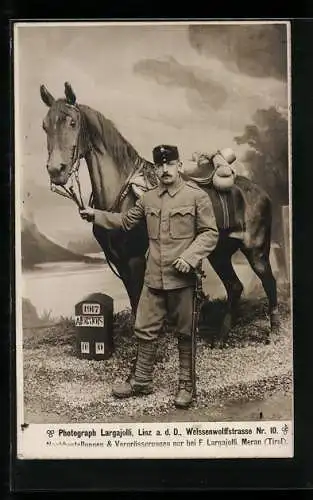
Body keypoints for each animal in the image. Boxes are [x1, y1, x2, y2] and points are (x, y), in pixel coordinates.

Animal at [39, 83, 280, 348]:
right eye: (45, 125)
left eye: (72, 122)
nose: (56, 170)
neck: (122, 194)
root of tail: (261, 192)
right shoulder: (120, 261)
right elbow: (134, 303)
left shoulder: (135, 260)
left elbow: (138, 302)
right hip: (219, 253)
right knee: (235, 287)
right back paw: (221, 337)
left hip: (256, 250)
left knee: (269, 281)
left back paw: (274, 330)